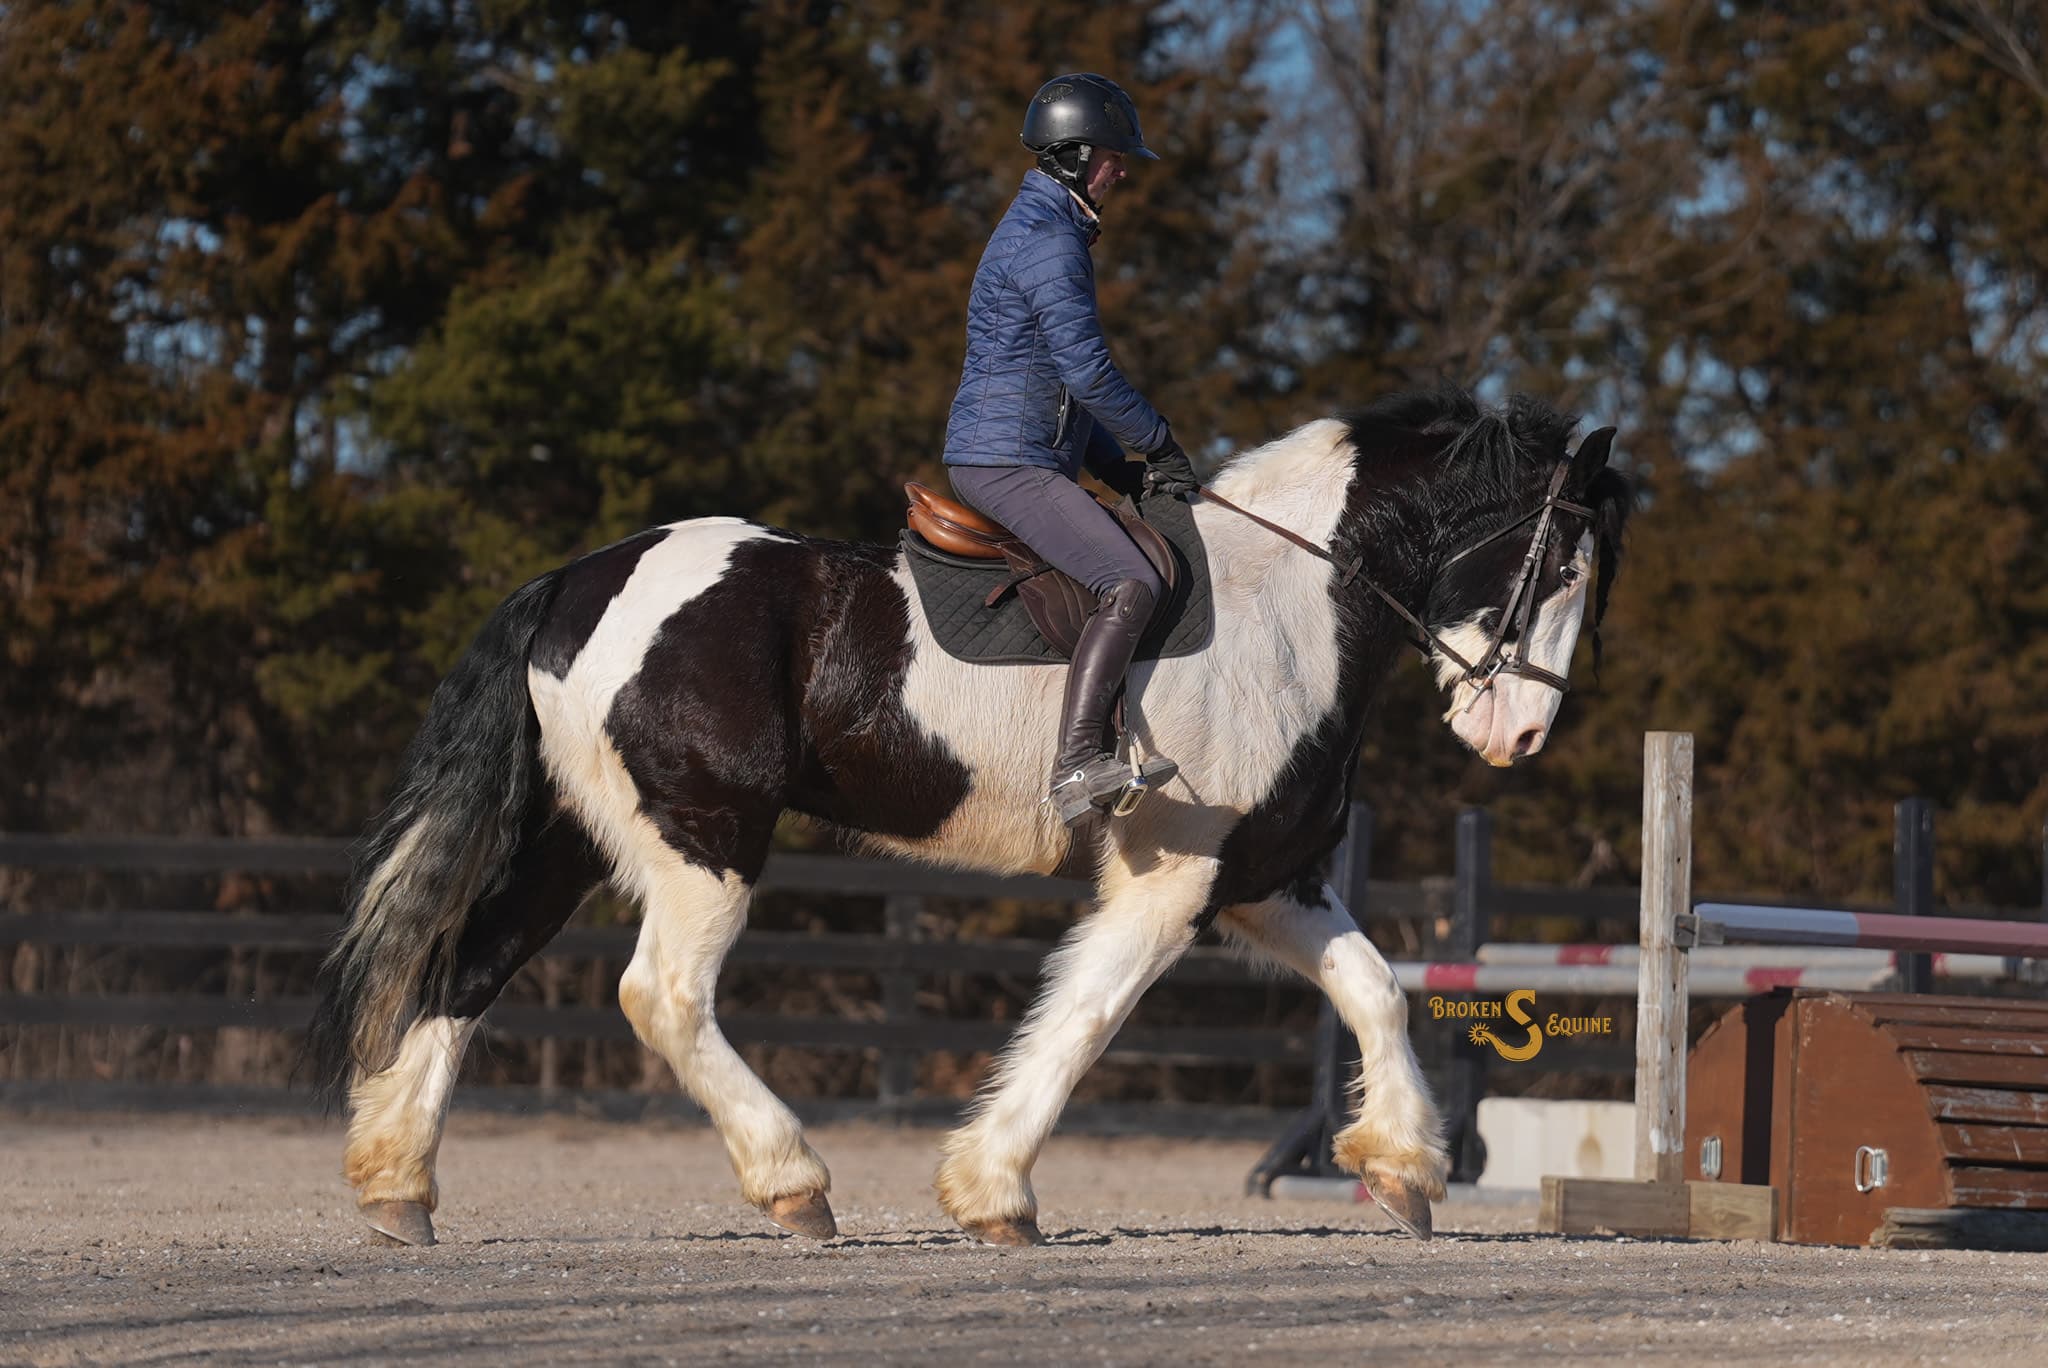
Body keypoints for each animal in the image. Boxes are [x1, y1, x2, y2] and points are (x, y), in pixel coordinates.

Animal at [306, 383, 1632, 1248]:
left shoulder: (1266, 878)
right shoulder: (1170, 880)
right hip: (704, 841)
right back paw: (793, 1184)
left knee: (466, 969)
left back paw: (397, 1189)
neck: (1288, 604)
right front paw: (995, 1193)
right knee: (662, 997)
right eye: (1558, 567)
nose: (1518, 736)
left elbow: (1375, 988)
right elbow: (1085, 1021)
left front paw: (1402, 1167)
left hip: (573, 840)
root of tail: (577, 581)